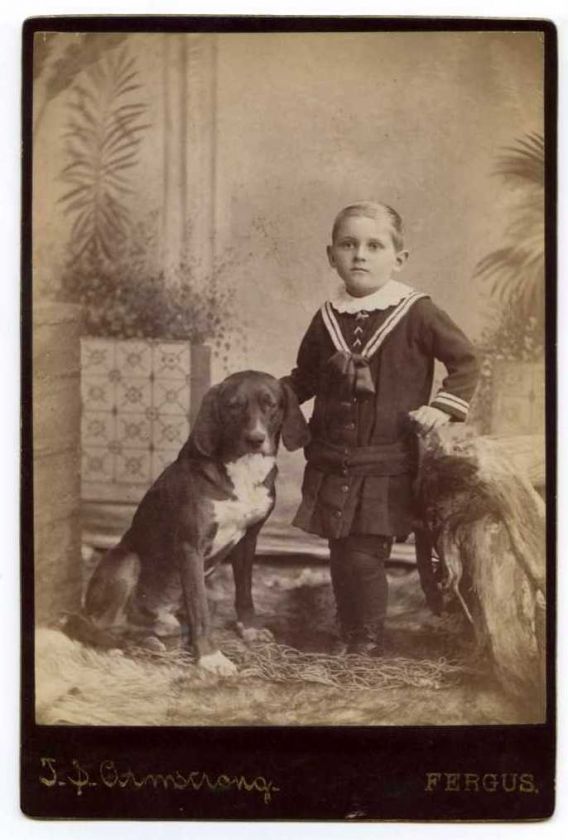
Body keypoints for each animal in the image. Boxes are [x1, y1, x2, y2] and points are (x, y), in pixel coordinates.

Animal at [64, 374, 308, 676]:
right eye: (233, 406)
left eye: (270, 404)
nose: (255, 439)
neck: (242, 469)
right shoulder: (191, 547)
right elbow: (199, 609)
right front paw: (210, 657)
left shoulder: (248, 540)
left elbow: (245, 591)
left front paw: (249, 628)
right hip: (126, 561)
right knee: (99, 625)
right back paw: (121, 644)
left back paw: (150, 640)